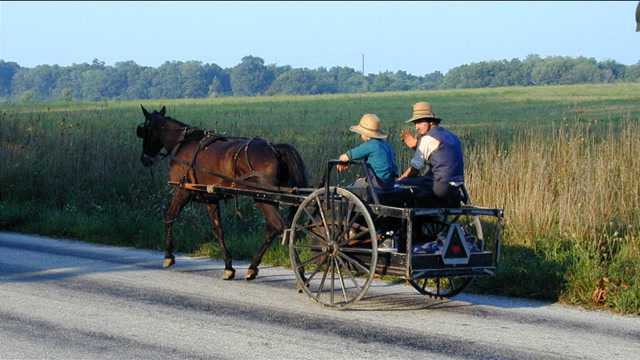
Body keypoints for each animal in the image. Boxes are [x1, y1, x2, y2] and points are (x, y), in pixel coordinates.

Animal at [138, 105, 310, 280]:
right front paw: (228, 266)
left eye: (144, 130)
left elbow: (169, 216)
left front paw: (168, 256)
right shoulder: (210, 197)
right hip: (268, 197)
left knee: (280, 226)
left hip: (262, 197)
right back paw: (253, 267)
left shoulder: (182, 190)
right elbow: (218, 229)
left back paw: (300, 272)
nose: (145, 159)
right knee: (273, 228)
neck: (183, 143)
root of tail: (275, 149)